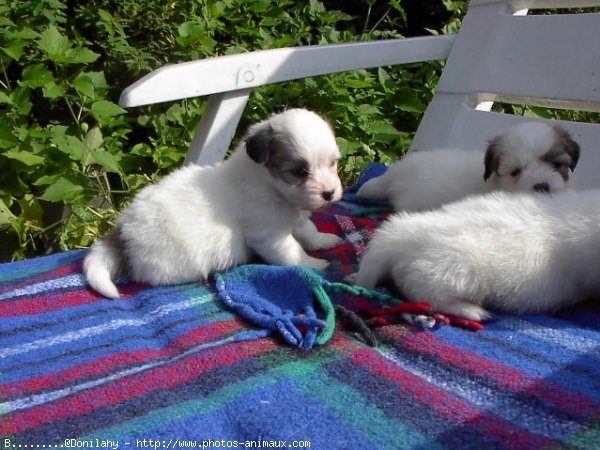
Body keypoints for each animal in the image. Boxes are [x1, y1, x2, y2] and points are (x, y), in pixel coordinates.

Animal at [86, 109, 344, 298]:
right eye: (300, 171)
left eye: (333, 163)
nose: (329, 193)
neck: (271, 188)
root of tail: (123, 232)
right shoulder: (269, 234)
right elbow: (292, 251)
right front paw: (313, 264)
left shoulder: (296, 219)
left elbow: (310, 232)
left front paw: (325, 240)